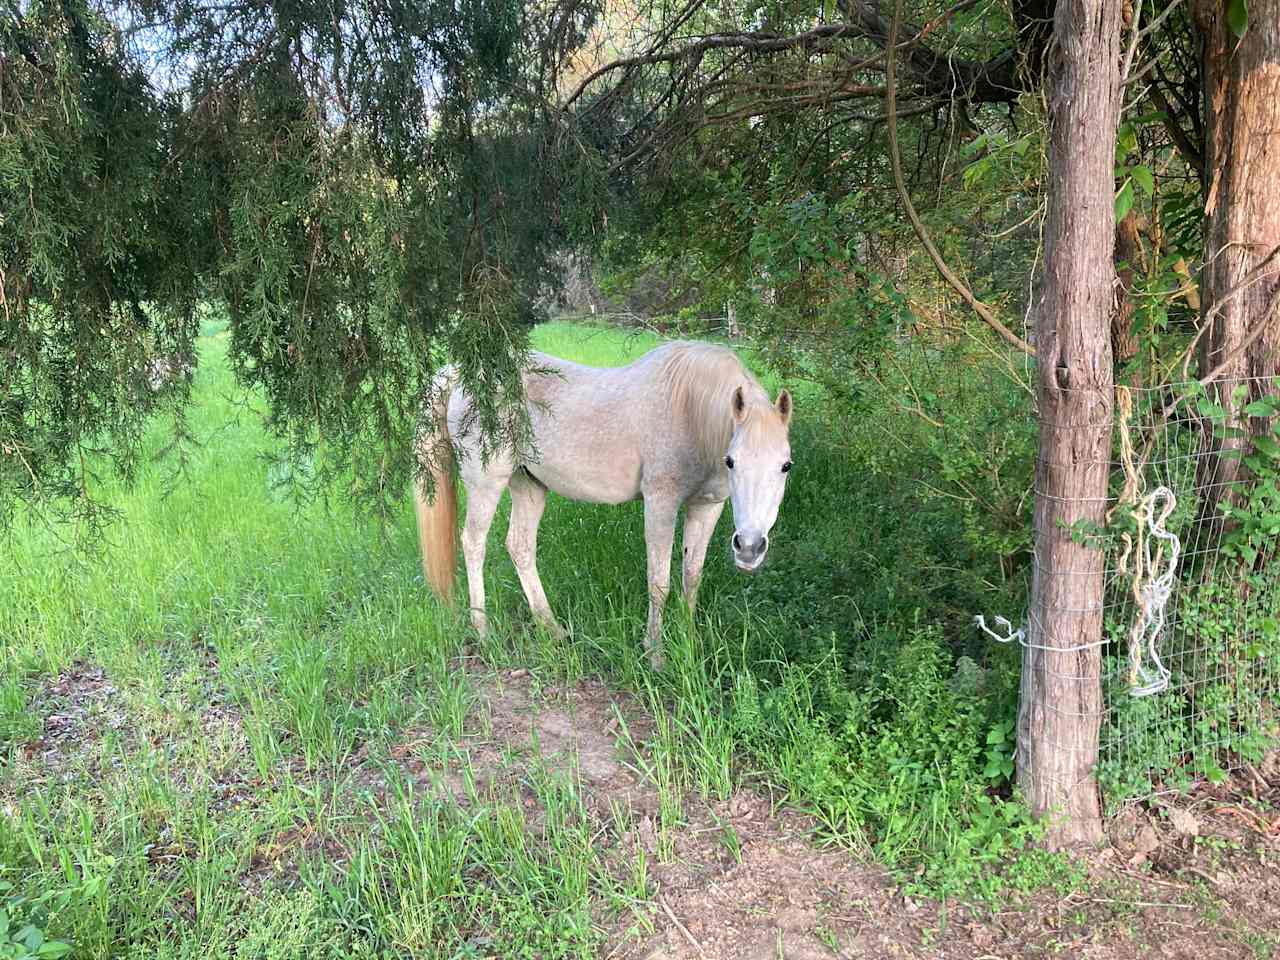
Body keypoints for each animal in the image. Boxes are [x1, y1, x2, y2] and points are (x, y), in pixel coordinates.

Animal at [414, 343, 793, 670]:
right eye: (731, 461)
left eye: (786, 466)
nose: (749, 548)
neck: (690, 410)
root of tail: (459, 372)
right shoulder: (660, 502)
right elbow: (659, 582)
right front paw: (655, 655)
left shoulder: (706, 507)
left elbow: (692, 575)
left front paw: (688, 641)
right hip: (486, 482)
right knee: (473, 543)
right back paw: (483, 631)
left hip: (529, 485)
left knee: (519, 546)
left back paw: (552, 628)